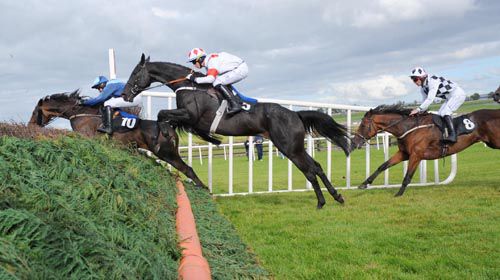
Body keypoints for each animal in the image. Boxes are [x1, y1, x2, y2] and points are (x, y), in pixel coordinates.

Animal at [27, 91, 205, 189]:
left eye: (35, 112)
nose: (30, 125)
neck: (80, 112)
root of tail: (168, 127)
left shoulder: (85, 136)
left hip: (167, 153)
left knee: (187, 169)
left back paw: (204, 189)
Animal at [122, 54, 350, 208]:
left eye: (135, 73)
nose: (124, 94)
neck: (188, 85)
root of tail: (295, 114)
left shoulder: (191, 116)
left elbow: (162, 113)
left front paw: (162, 137)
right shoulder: (187, 119)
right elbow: (165, 117)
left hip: (289, 148)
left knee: (310, 171)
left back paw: (322, 201)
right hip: (294, 147)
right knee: (317, 167)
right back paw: (336, 196)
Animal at [350, 105, 500, 197]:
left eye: (363, 125)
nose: (354, 142)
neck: (408, 128)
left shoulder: (416, 155)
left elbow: (407, 176)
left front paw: (398, 194)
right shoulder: (404, 154)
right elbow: (383, 166)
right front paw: (364, 184)